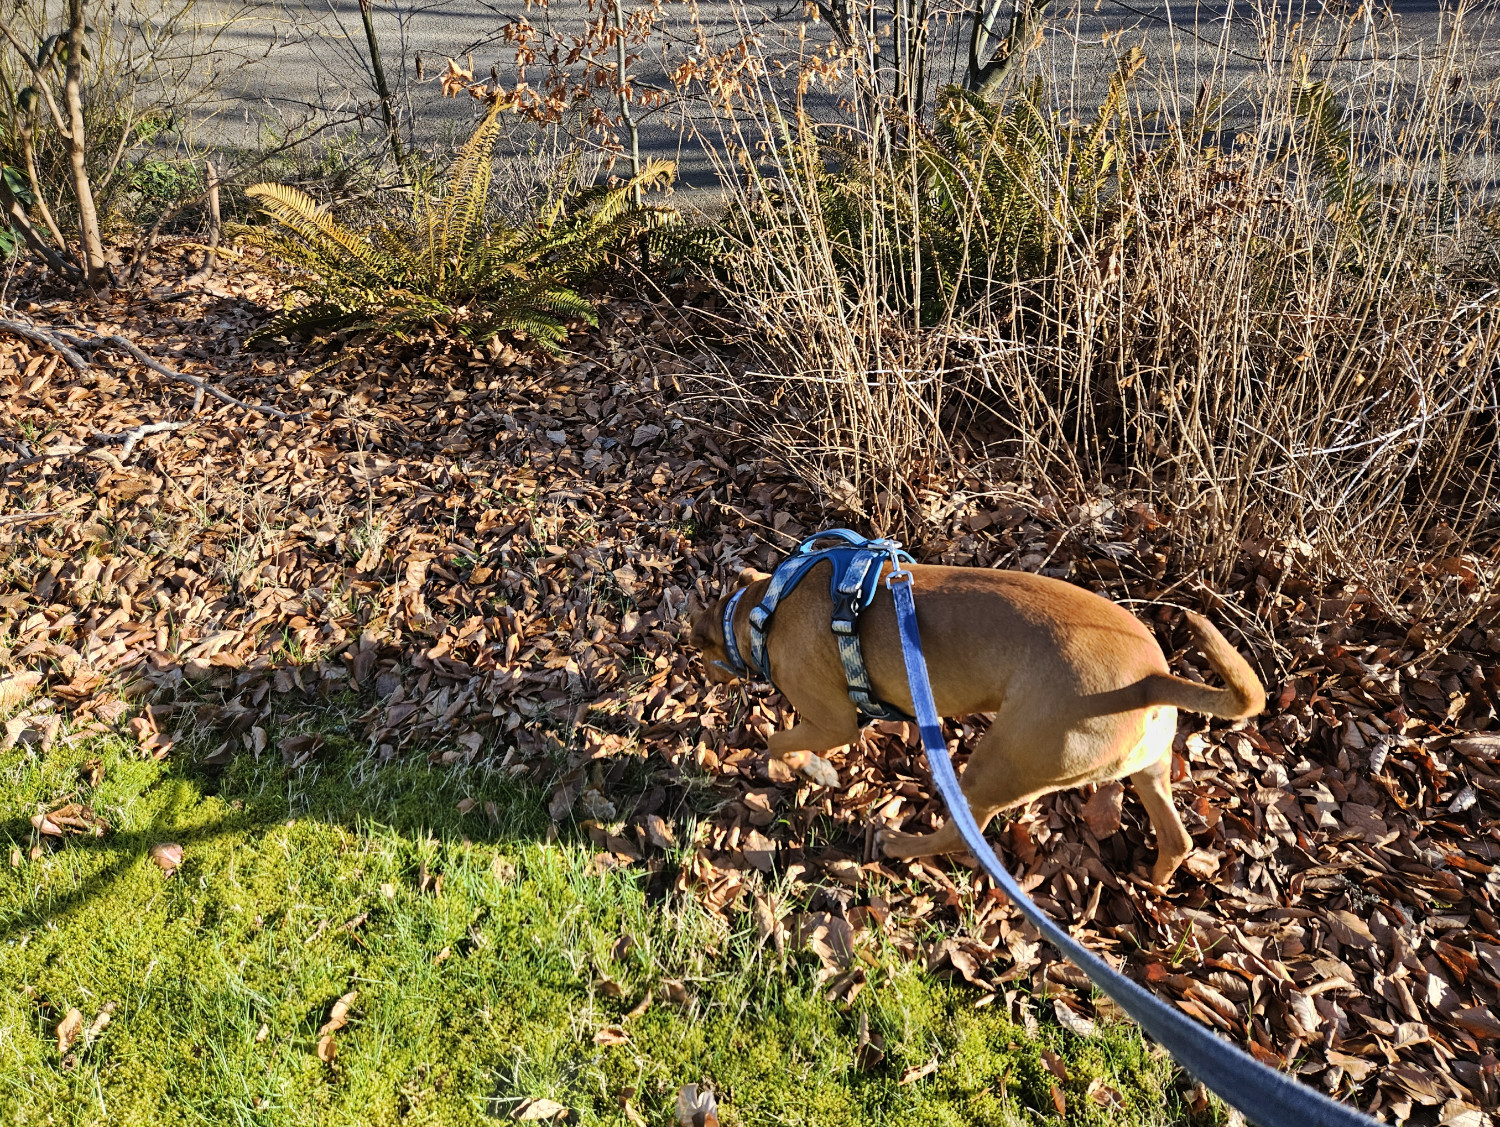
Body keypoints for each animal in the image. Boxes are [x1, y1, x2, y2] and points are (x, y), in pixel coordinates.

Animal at [690, 564, 1266, 888]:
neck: (761, 610)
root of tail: (1152, 680)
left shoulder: (833, 721)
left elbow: (778, 738)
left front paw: (801, 768)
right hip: (1146, 770)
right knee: (1176, 838)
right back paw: (1157, 881)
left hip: (997, 765)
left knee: (961, 835)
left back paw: (899, 846)